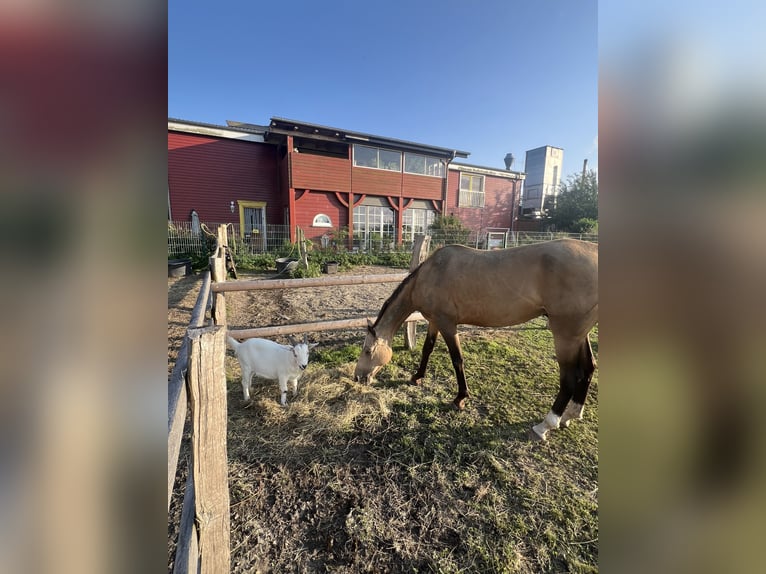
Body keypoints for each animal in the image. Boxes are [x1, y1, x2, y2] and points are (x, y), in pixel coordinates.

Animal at [353, 238, 598, 441]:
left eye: (367, 351)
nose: (358, 378)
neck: (430, 274)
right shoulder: (434, 322)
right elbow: (427, 349)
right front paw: (417, 377)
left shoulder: (448, 324)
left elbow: (457, 359)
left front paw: (460, 397)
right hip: (578, 334)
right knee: (588, 367)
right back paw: (571, 415)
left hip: (565, 334)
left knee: (569, 378)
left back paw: (545, 425)